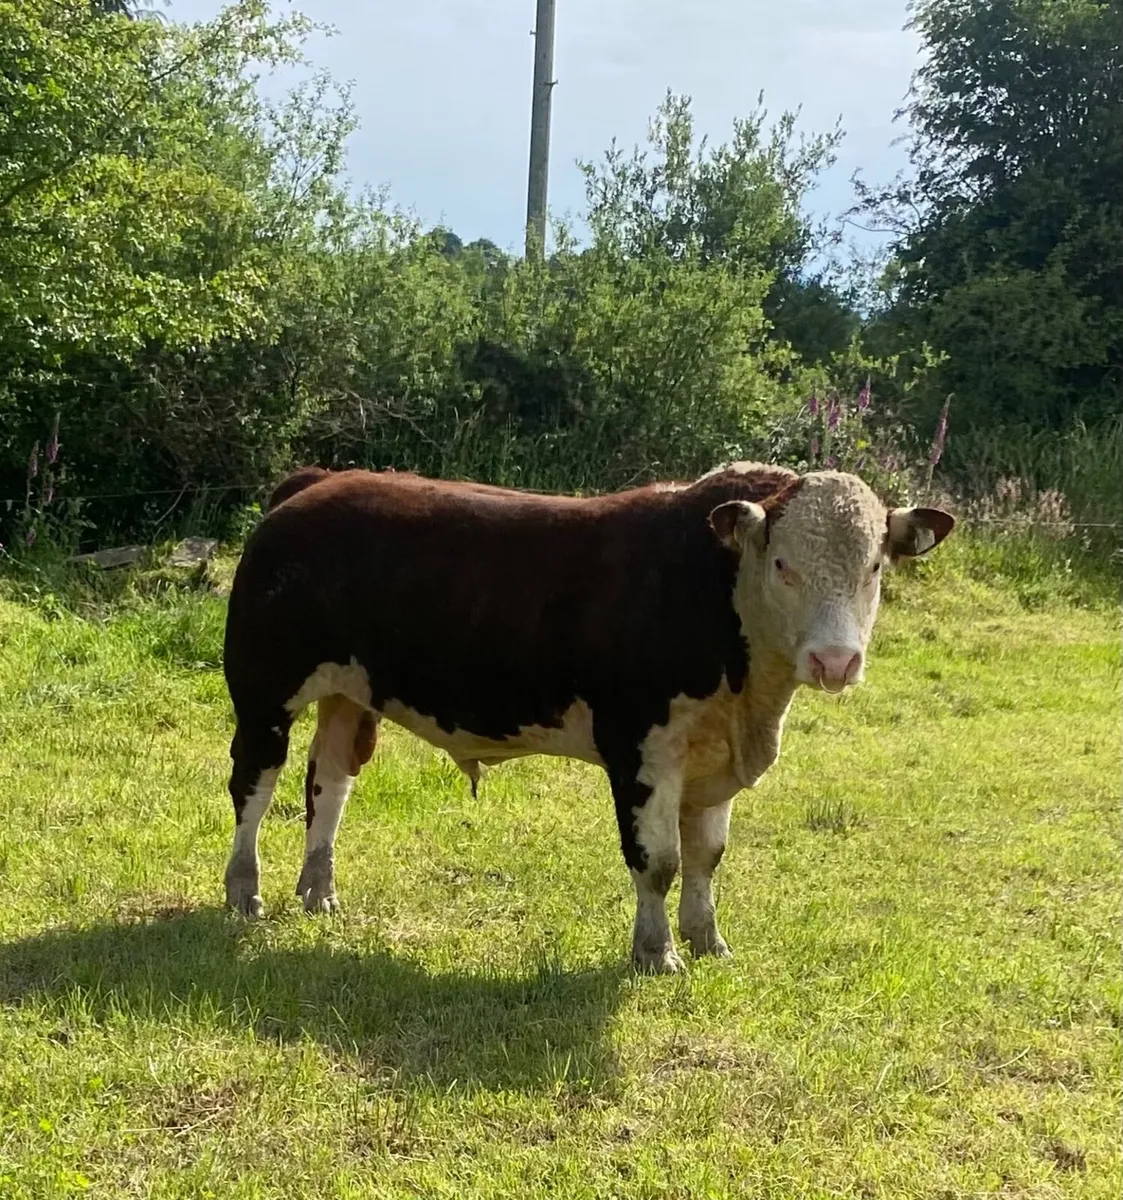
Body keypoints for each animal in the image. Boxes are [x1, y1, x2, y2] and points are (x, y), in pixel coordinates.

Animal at [221, 463, 954, 973]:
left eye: (874, 566)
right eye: (783, 564)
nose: (837, 660)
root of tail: (316, 482)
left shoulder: (711, 759)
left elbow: (706, 857)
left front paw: (708, 940)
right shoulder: (639, 751)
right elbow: (658, 861)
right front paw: (656, 953)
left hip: (348, 694)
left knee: (329, 786)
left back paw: (318, 892)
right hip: (262, 694)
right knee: (253, 789)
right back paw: (244, 892)